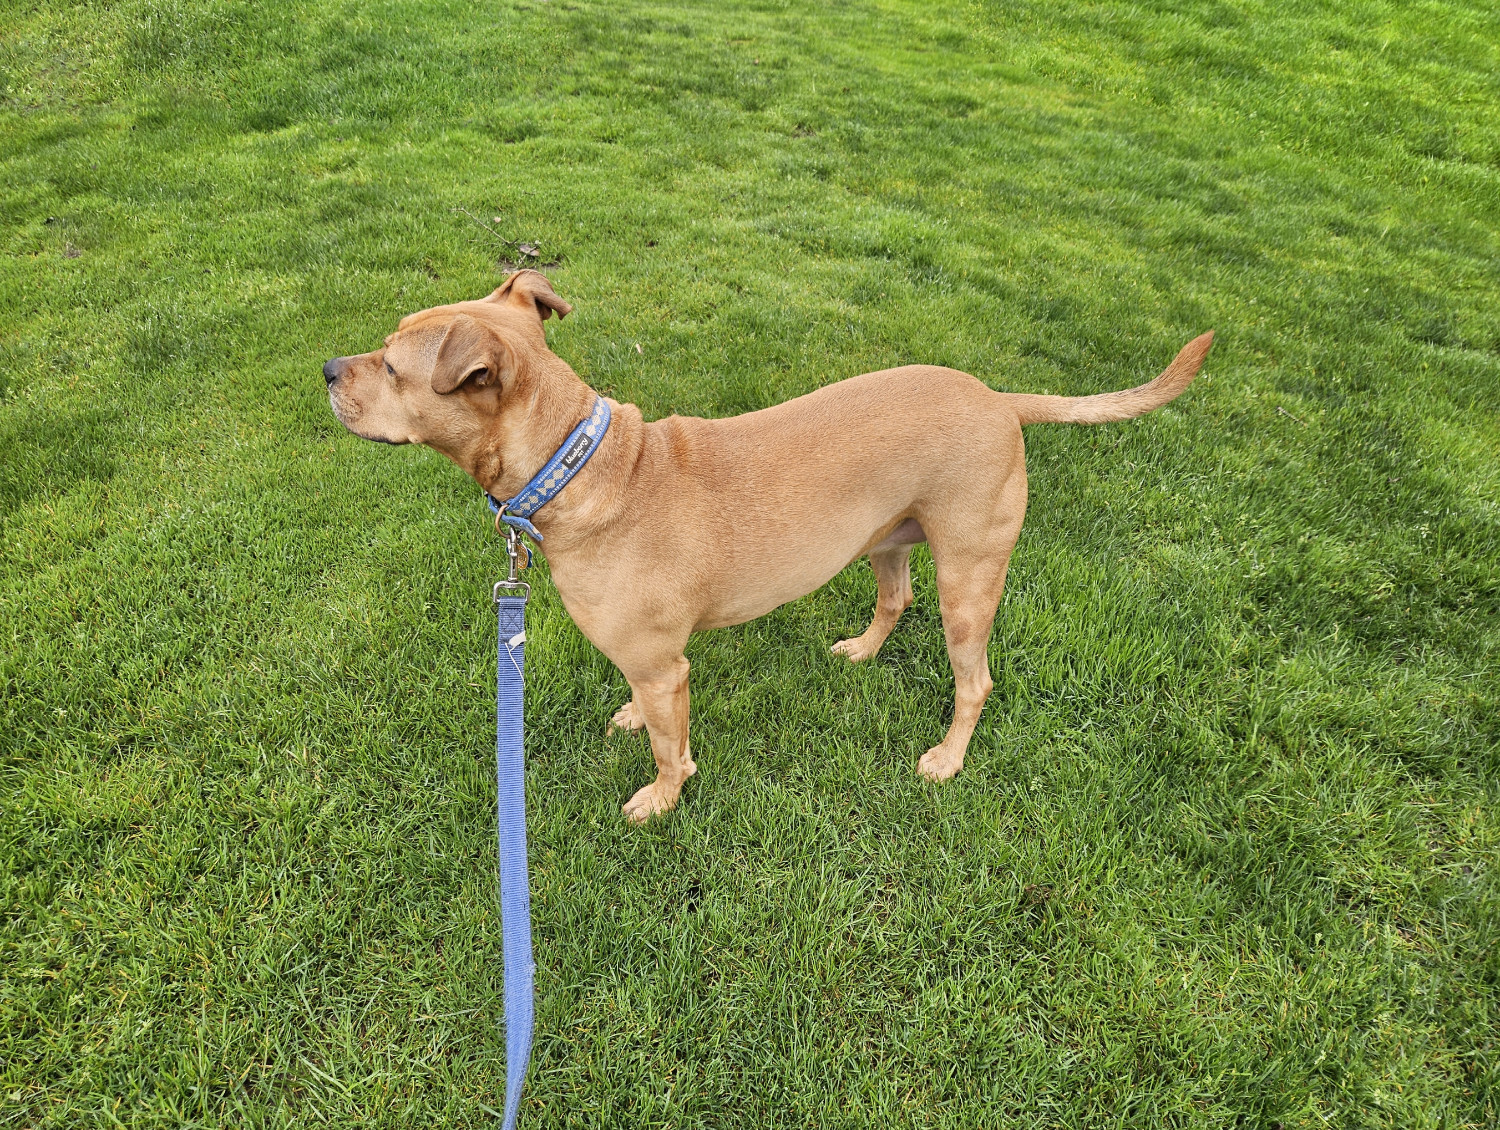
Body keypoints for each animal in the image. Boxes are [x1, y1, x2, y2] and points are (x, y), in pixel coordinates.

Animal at [322, 273, 1212, 822]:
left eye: (393, 367)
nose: (328, 368)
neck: (577, 464)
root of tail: (999, 398)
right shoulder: (650, 662)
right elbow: (646, 712)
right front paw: (631, 722)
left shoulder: (664, 665)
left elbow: (671, 749)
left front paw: (662, 798)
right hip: (887, 541)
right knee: (895, 598)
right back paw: (862, 650)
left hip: (969, 580)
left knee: (976, 680)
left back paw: (947, 758)